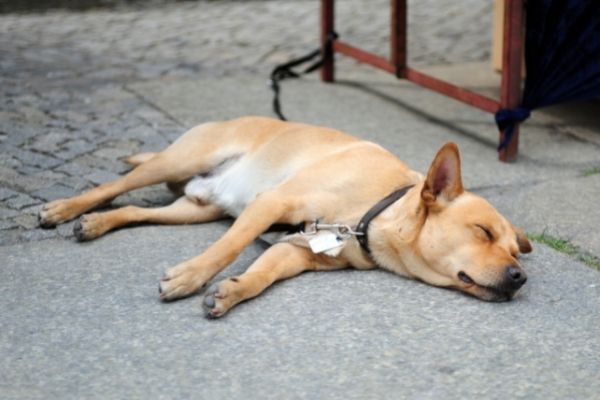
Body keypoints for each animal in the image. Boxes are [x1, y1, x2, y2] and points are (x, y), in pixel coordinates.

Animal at [39, 116, 532, 318]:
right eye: (482, 231)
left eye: (515, 252)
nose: (520, 277)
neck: (376, 211)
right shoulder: (271, 205)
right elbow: (228, 248)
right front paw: (191, 276)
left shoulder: (297, 250)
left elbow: (261, 274)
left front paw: (232, 292)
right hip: (178, 161)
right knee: (115, 187)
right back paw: (65, 208)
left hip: (194, 209)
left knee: (133, 209)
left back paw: (96, 223)